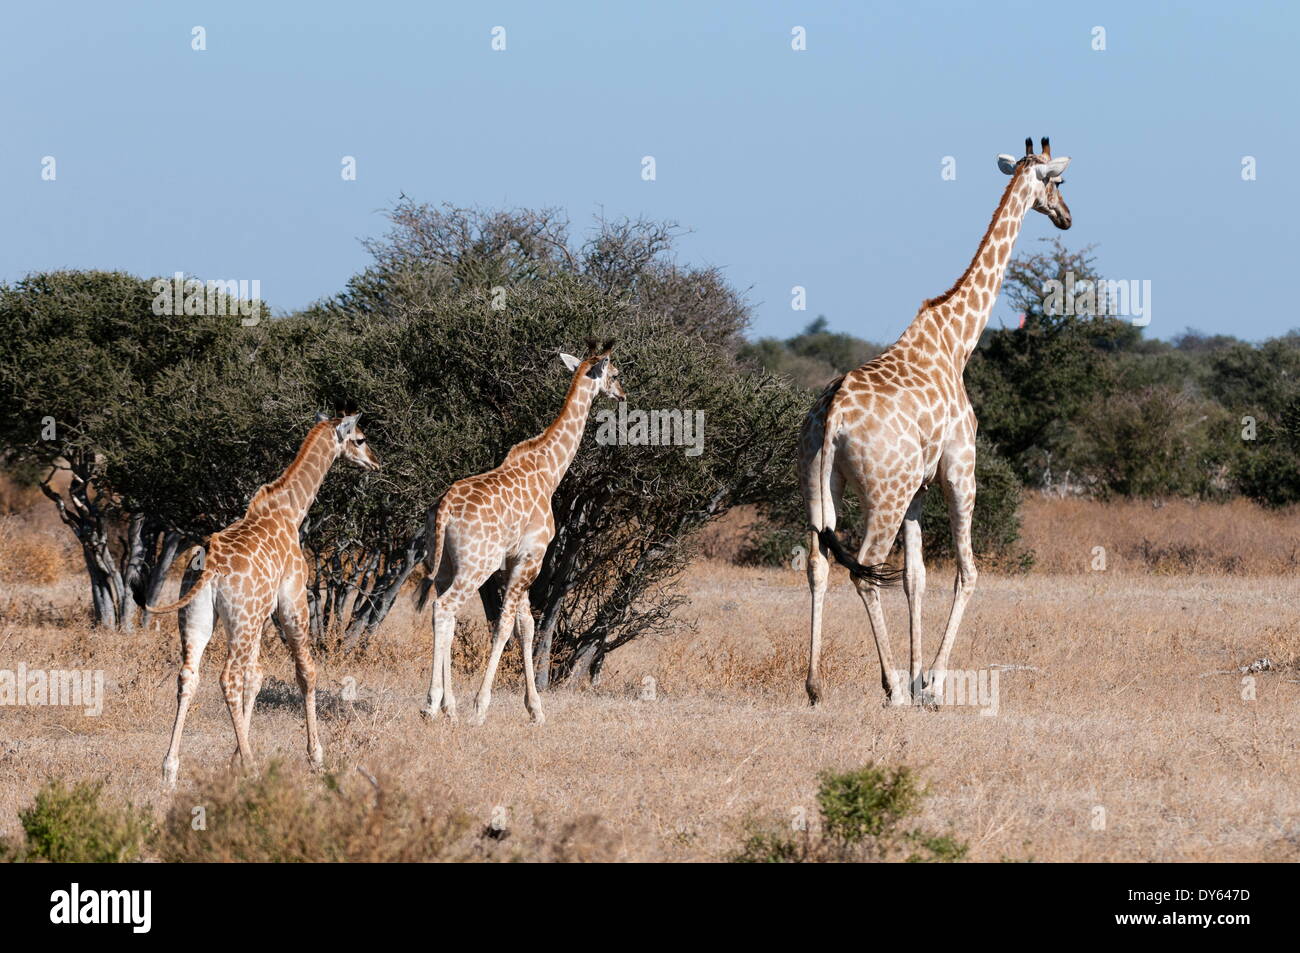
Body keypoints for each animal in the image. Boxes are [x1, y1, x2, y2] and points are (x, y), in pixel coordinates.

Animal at [150, 413, 380, 786]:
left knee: (189, 675)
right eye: (360, 439)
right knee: (227, 677)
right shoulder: (292, 602)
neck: (291, 510)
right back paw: (254, 767)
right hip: (241, 620)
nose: (374, 461)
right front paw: (315, 756)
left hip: (200, 617)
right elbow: (306, 671)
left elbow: (255, 676)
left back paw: (170, 769)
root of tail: (209, 565)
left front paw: (235, 757)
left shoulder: (261, 615)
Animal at [417, 340, 625, 725]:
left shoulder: (516, 563)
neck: (550, 469)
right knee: (444, 608)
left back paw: (448, 707)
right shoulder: (531, 559)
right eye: (616, 373)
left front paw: (535, 709)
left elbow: (526, 627)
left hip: (446, 566)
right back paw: (432, 704)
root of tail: (444, 508)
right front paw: (481, 707)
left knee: (447, 617)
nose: (622, 393)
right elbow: (504, 626)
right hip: (476, 565)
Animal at [800, 137, 1071, 707]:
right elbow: (966, 571)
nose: (1066, 218)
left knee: (818, 562)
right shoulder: (959, 469)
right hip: (885, 491)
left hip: (818, 482)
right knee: (866, 569)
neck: (957, 340)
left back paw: (814, 686)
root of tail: (831, 416)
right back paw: (892, 689)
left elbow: (917, 578)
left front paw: (919, 672)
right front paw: (931, 685)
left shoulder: (920, 489)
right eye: (1058, 182)